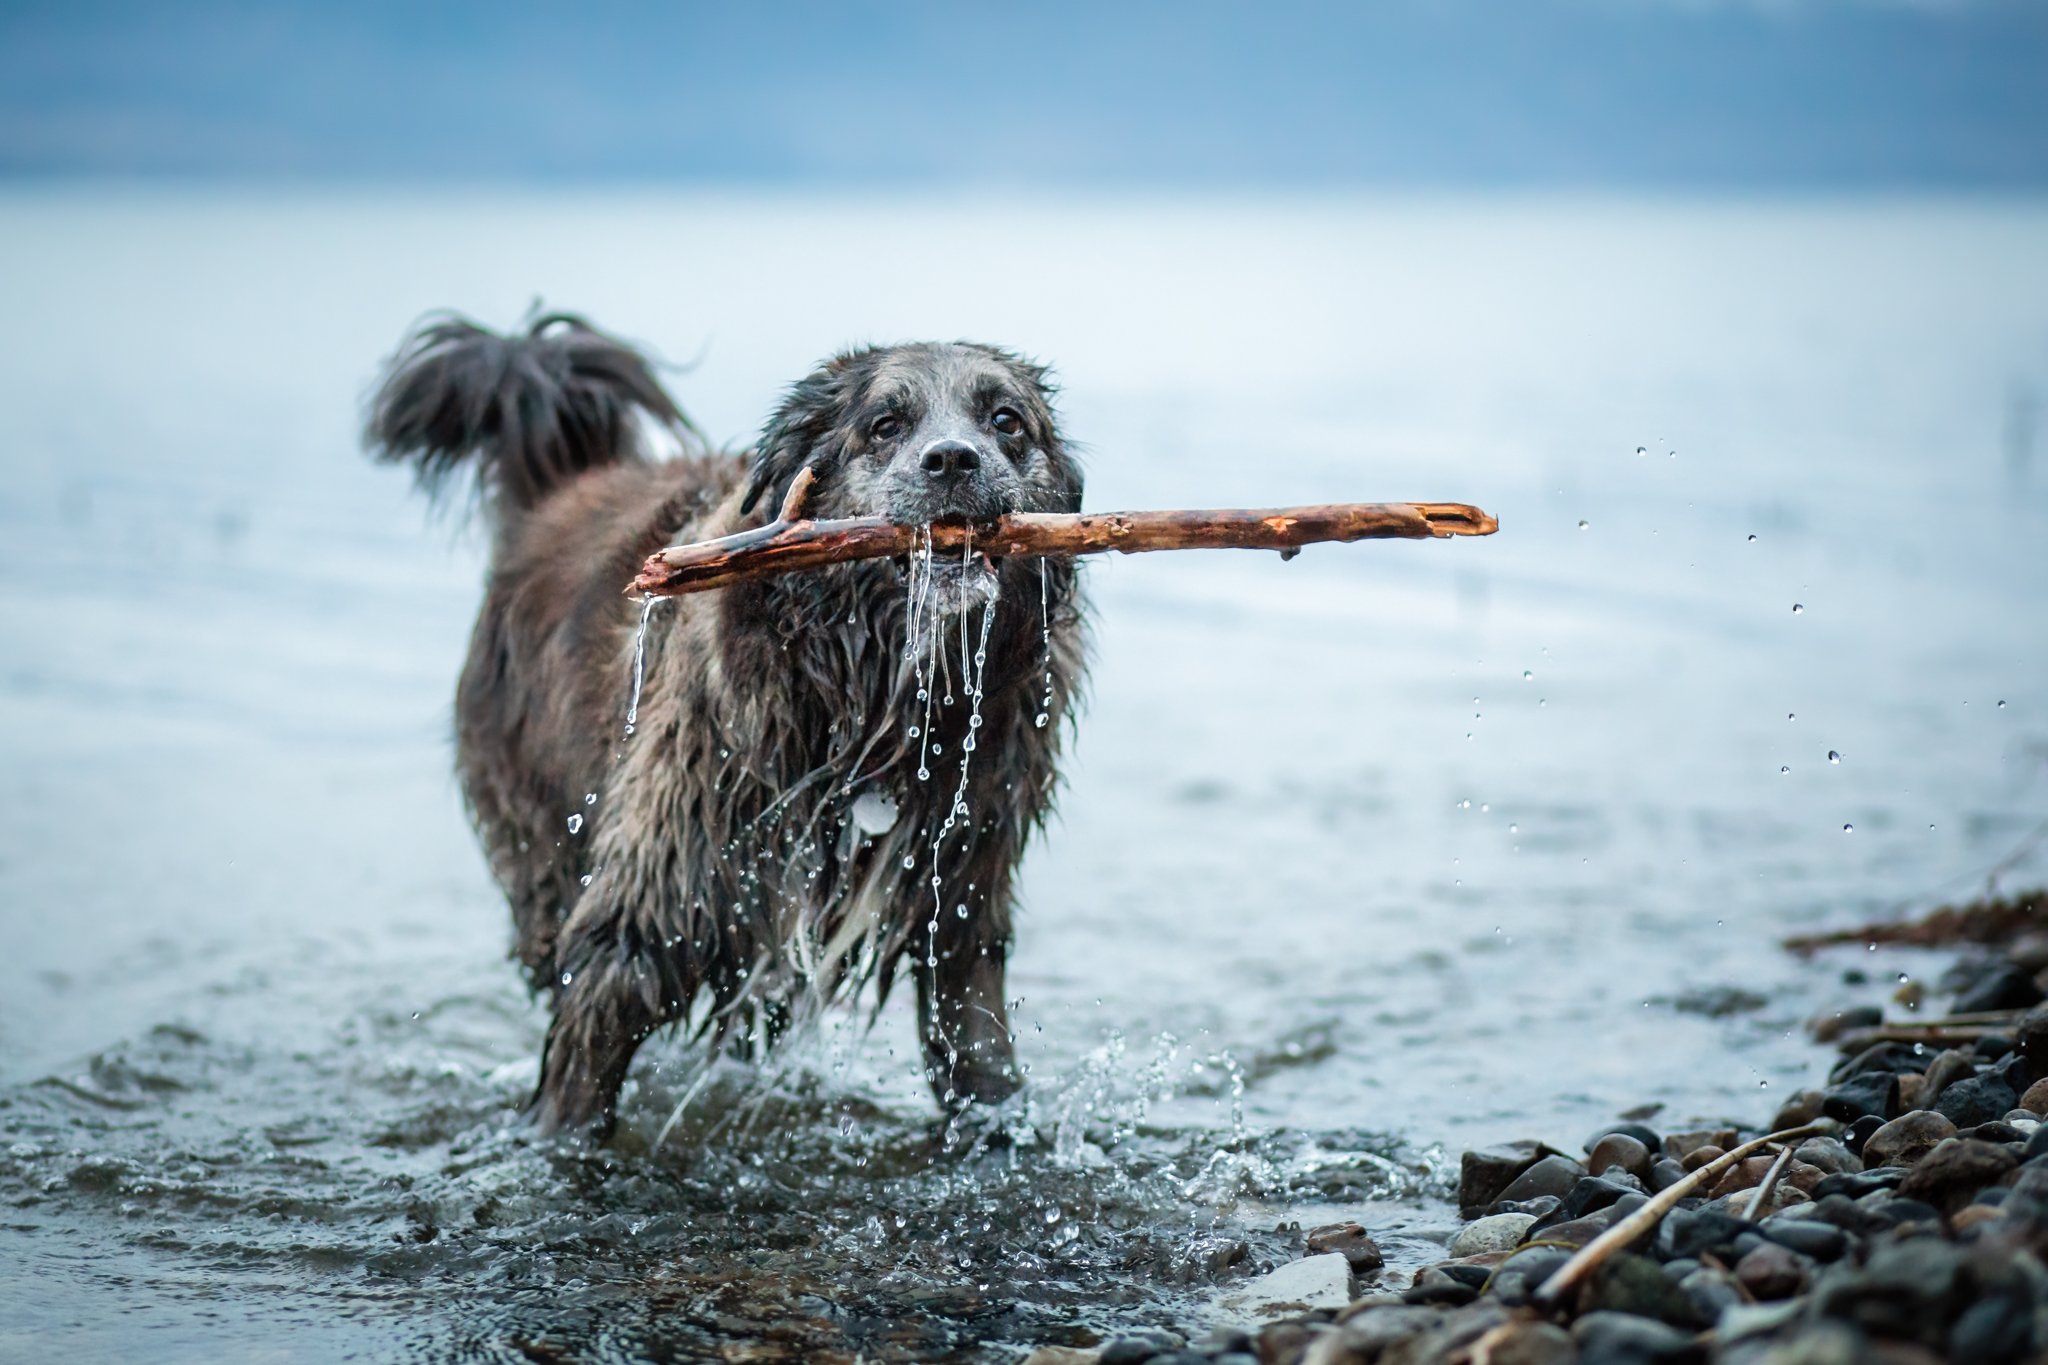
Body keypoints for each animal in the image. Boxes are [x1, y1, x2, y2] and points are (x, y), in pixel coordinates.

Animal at [364, 315, 1089, 1137]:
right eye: (885, 425)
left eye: (1007, 421)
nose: (953, 460)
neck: (875, 706)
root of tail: (557, 490)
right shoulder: (654, 893)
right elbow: (591, 1044)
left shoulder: (963, 897)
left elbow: (978, 1053)